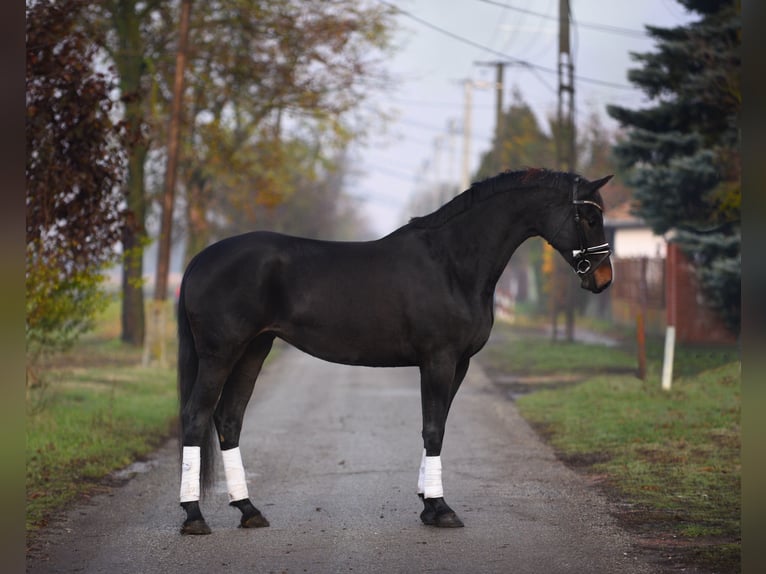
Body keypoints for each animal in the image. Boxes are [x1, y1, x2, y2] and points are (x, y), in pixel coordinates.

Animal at [177, 168, 616, 536]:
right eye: (588, 217)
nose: (603, 279)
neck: (452, 262)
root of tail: (200, 259)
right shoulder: (438, 360)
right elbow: (433, 428)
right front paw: (441, 509)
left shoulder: (459, 364)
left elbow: (437, 426)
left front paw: (428, 505)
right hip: (221, 354)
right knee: (196, 418)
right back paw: (195, 517)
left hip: (254, 350)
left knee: (229, 420)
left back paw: (248, 510)